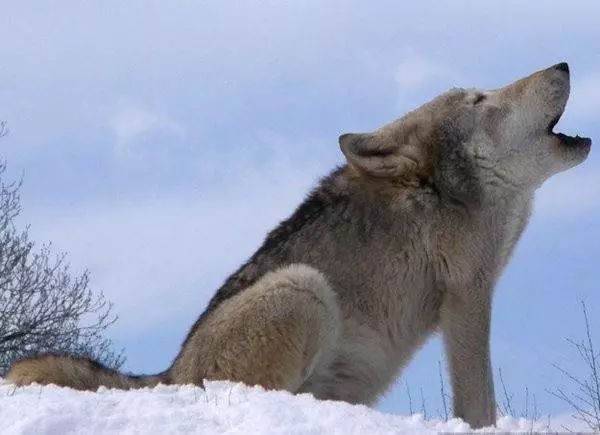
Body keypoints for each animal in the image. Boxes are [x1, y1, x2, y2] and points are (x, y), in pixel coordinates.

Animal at [7, 62, 592, 430]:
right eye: (479, 99)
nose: (564, 63)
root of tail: (167, 375)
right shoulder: (468, 294)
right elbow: (478, 400)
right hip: (303, 287)